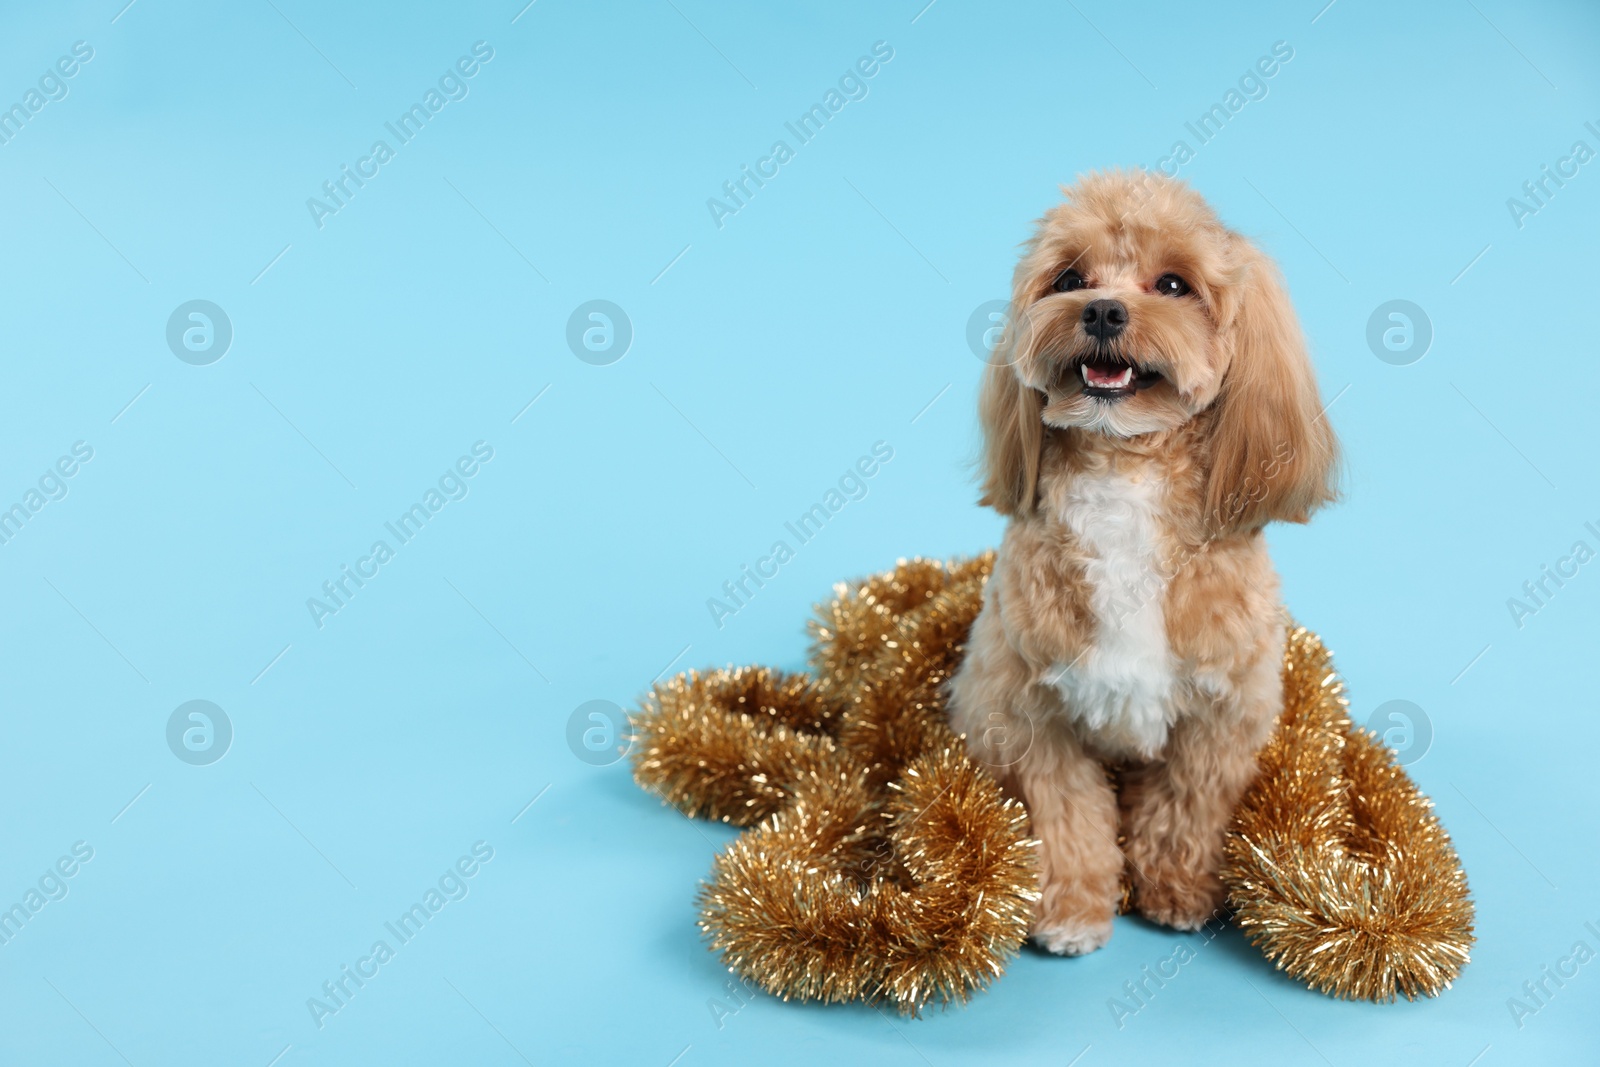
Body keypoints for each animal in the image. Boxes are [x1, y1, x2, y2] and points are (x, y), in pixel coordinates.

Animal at [947, 171, 1337, 953]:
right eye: (1069, 279)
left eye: (1174, 284)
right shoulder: (1029, 711)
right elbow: (1067, 816)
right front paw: (1072, 909)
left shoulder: (1221, 714)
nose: (1101, 309)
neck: (1123, 474)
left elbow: (1188, 807)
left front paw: (1179, 890)